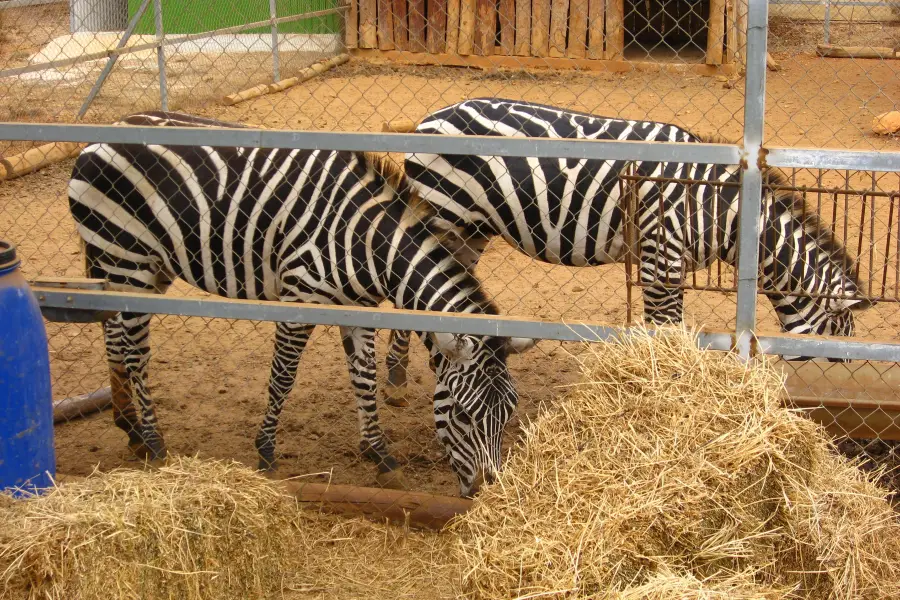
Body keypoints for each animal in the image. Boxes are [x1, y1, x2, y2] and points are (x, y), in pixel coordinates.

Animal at [70, 113, 536, 496]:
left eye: (509, 412)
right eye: (462, 414)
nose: (484, 493)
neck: (367, 243)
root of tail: (101, 136)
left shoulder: (359, 306)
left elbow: (364, 379)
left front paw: (380, 457)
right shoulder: (299, 299)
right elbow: (283, 378)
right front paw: (265, 454)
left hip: (144, 266)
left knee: (115, 337)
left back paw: (130, 429)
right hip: (126, 258)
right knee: (135, 354)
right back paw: (153, 443)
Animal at [382, 98, 872, 406]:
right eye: (841, 344)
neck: (723, 209)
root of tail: (429, 118)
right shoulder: (662, 257)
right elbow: (665, 330)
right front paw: (667, 388)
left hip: (471, 229)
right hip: (445, 215)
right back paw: (396, 381)